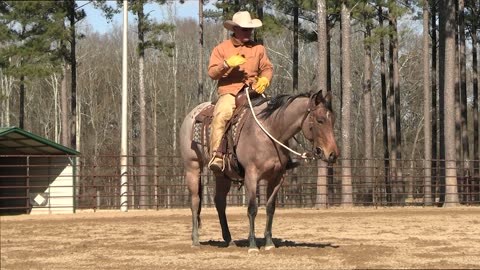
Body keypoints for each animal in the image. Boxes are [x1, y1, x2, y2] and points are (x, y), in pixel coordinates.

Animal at [178, 89, 340, 253]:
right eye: (320, 120)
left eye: (333, 120)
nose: (332, 154)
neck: (270, 130)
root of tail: (191, 115)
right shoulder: (251, 175)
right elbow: (252, 209)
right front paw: (253, 245)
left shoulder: (277, 177)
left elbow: (270, 208)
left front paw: (269, 243)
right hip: (193, 167)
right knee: (195, 202)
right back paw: (195, 240)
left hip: (222, 174)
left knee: (220, 202)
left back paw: (229, 240)